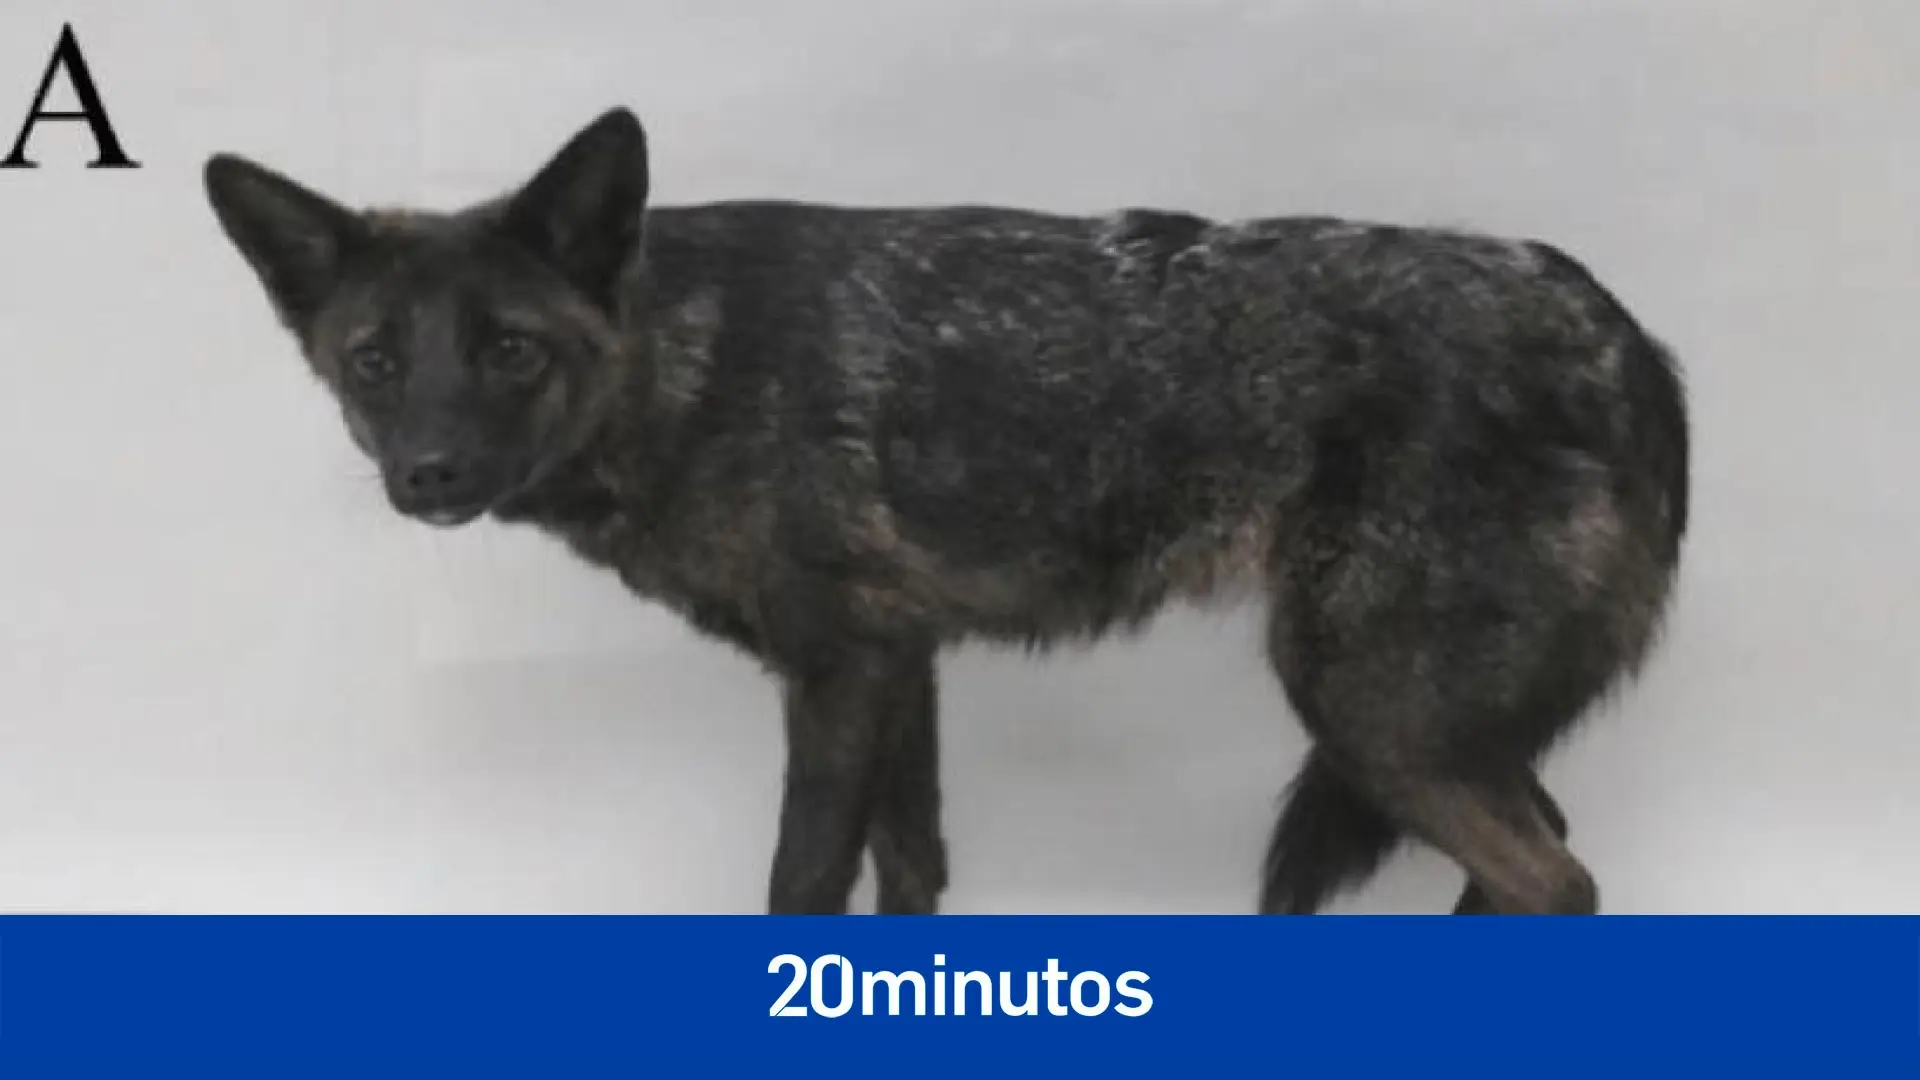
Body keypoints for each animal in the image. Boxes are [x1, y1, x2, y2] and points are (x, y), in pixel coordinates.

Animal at [203, 106, 1688, 915]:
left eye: (509, 352)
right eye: (375, 362)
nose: (430, 474)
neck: (695, 360)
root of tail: (1625, 332)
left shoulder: (839, 673)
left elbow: (801, 882)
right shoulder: (898, 666)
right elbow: (910, 872)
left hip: (1368, 710)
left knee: (1557, 878)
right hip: (1414, 728)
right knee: (1543, 854)